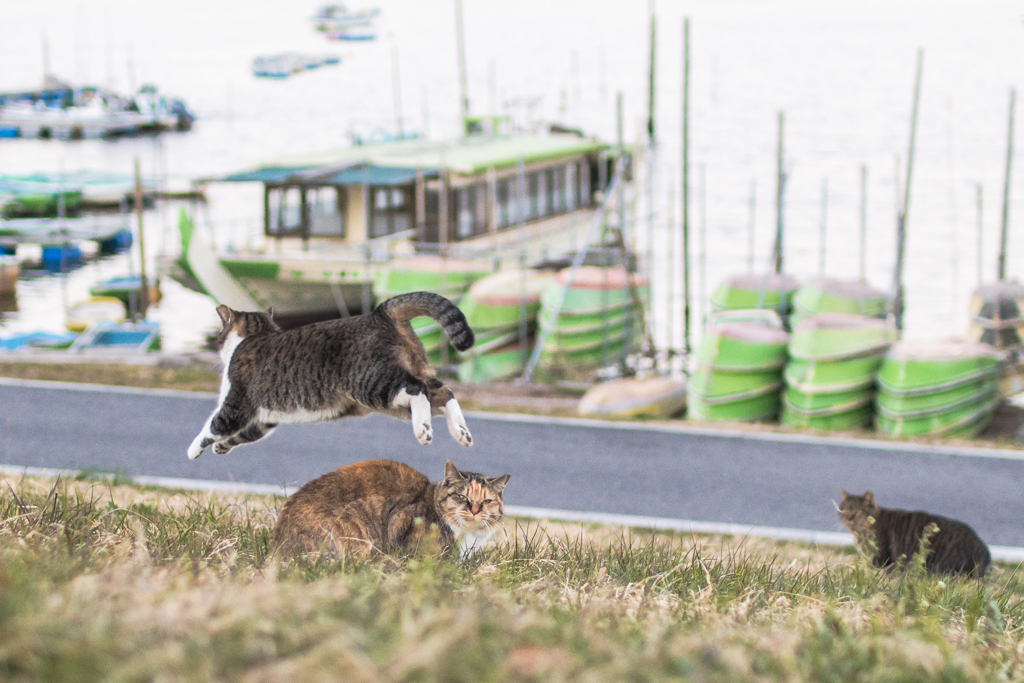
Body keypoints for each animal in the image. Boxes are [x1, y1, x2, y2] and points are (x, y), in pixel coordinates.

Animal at [188, 290, 475, 458]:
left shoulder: (236, 406)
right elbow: (242, 435)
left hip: (375, 384)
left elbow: (213, 426)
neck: (255, 335)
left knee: (418, 389)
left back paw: (423, 430)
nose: (216, 341)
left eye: (219, 333)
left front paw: (193, 450)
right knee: (442, 392)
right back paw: (461, 433)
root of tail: (379, 313)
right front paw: (221, 447)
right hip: (404, 385)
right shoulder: (262, 419)